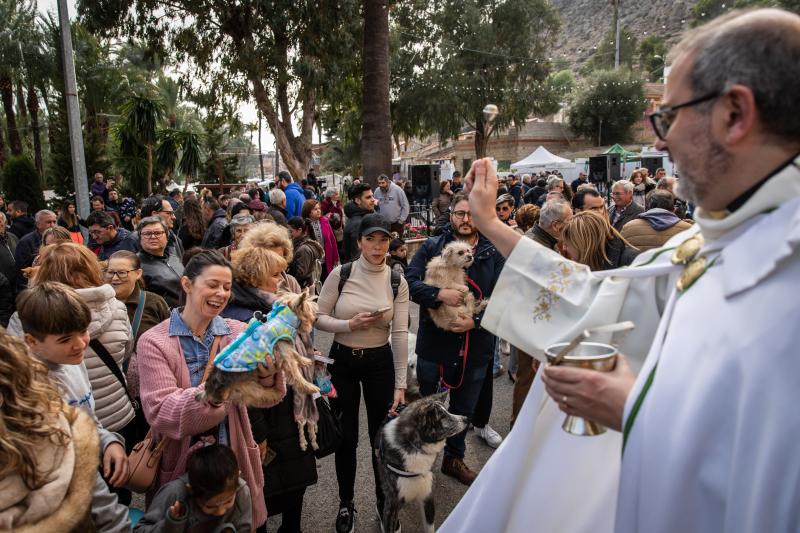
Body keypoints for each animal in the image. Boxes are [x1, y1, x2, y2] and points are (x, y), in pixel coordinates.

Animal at [376, 390, 468, 532]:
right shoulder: (391, 506)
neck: (416, 448)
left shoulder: (427, 496)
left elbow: (429, 527)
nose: (466, 419)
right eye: (442, 416)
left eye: (447, 411)